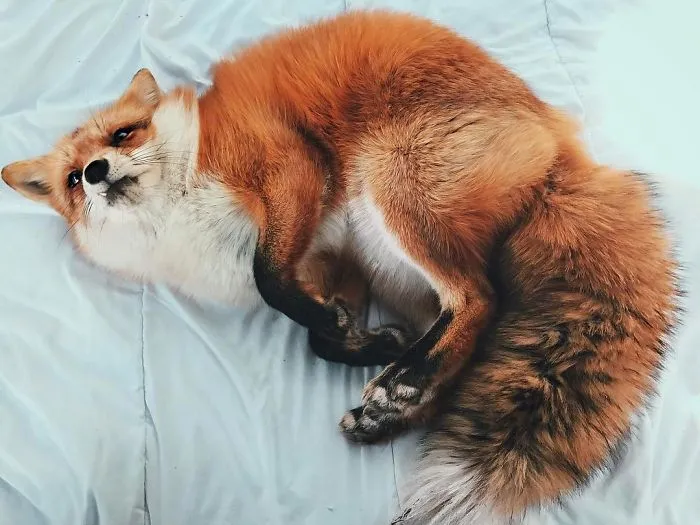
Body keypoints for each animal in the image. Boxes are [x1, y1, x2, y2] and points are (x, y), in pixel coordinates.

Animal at [1, 10, 679, 525]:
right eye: (71, 178)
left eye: (123, 133)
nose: (94, 172)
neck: (180, 216)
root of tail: (561, 142)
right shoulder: (335, 260)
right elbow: (315, 338)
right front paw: (368, 342)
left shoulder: (288, 167)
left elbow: (270, 282)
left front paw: (361, 342)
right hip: (385, 260)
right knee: (468, 343)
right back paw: (395, 404)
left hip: (395, 191)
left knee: (480, 297)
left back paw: (406, 381)